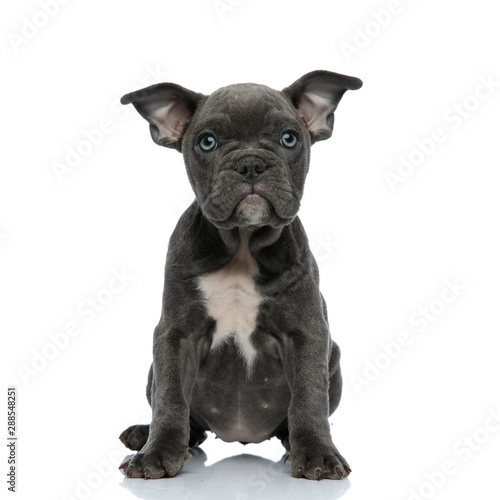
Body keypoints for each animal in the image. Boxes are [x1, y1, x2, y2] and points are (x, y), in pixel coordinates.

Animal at [120, 70, 364, 480]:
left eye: (289, 138)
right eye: (207, 142)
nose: (250, 164)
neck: (243, 245)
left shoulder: (307, 334)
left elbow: (309, 397)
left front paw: (317, 453)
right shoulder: (176, 334)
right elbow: (171, 398)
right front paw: (157, 452)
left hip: (334, 358)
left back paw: (291, 442)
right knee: (189, 421)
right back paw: (150, 435)